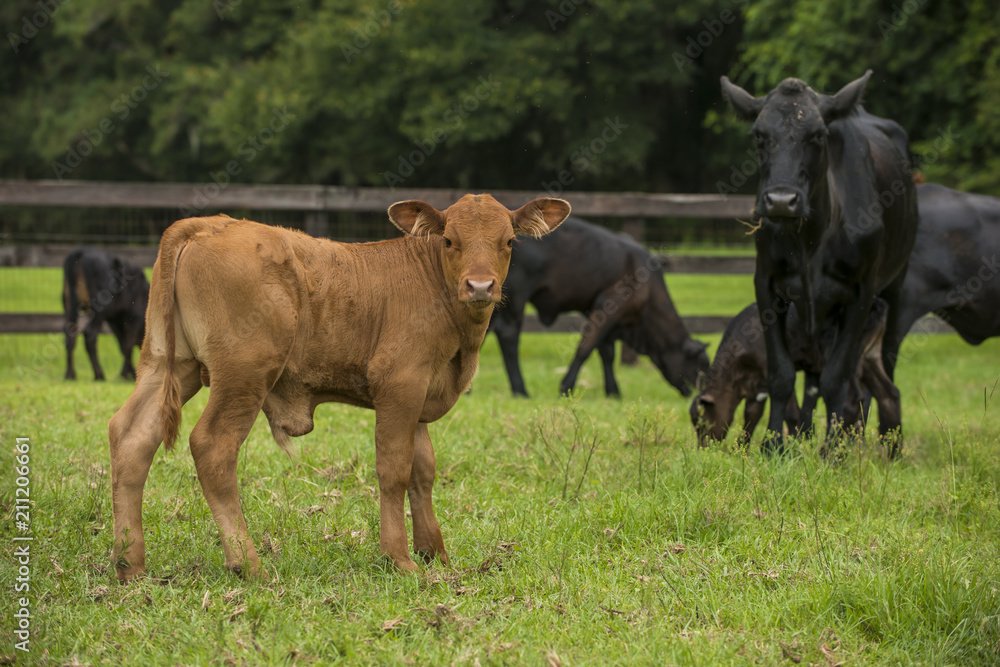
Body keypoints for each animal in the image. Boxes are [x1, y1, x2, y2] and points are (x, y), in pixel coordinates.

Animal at [61, 248, 148, 380]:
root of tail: (82, 251)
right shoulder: (134, 317)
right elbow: (128, 344)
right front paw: (128, 373)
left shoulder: (115, 320)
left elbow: (123, 345)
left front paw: (129, 372)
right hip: (99, 309)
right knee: (90, 334)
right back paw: (99, 374)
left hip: (70, 305)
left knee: (70, 334)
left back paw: (70, 374)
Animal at [109, 193, 572, 580]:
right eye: (449, 240)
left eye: (509, 241)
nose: (479, 286)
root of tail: (209, 224)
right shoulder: (400, 384)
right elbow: (395, 469)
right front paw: (399, 558)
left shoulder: (420, 395)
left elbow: (423, 471)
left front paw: (434, 554)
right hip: (244, 373)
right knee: (212, 446)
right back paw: (248, 563)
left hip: (170, 363)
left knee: (132, 436)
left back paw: (130, 564)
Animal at [488, 218, 708, 396]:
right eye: (700, 367)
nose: (699, 392)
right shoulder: (610, 305)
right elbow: (586, 347)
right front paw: (566, 387)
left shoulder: (602, 313)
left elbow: (606, 351)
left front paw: (613, 391)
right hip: (516, 298)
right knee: (508, 334)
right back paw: (520, 389)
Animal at [720, 72, 920, 460]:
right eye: (759, 135)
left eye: (817, 135)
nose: (781, 200)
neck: (810, 238)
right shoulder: (767, 285)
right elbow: (782, 375)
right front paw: (775, 444)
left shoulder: (861, 293)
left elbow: (836, 377)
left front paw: (834, 450)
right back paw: (808, 435)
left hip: (895, 291)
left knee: (876, 378)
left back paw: (879, 443)